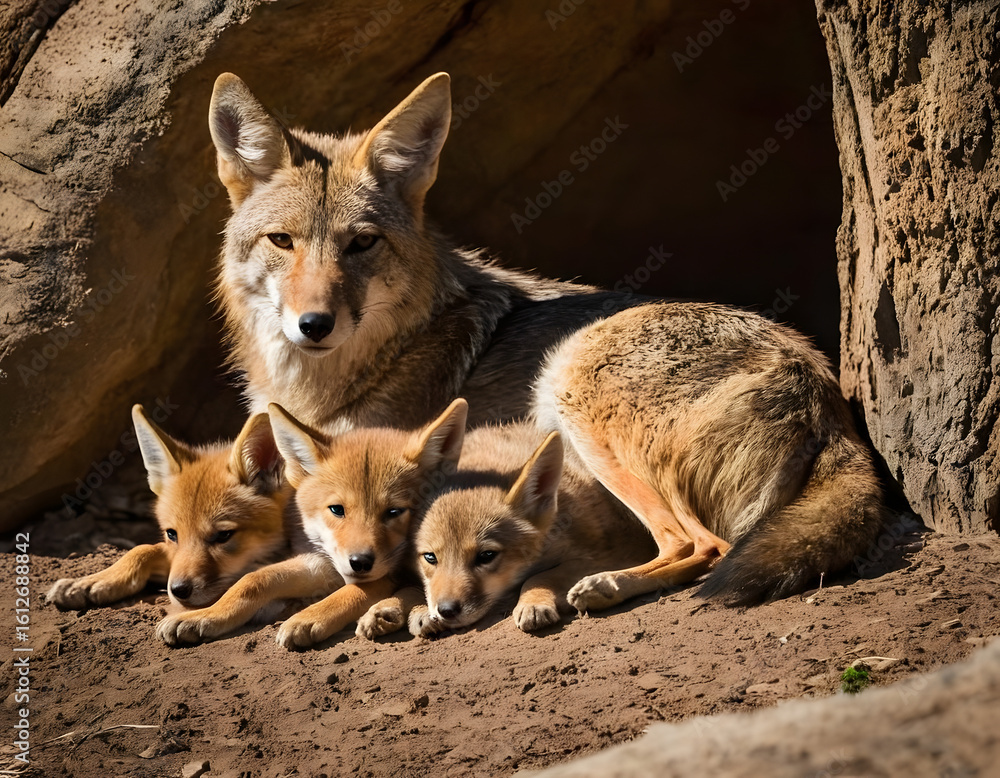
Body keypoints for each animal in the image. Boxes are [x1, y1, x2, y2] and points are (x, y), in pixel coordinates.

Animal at [208, 72, 885, 606]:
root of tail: (819, 379)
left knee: (702, 544)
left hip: (569, 383)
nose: (314, 325)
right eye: (283, 242)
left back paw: (604, 586)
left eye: (362, 244)